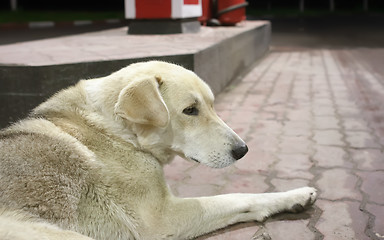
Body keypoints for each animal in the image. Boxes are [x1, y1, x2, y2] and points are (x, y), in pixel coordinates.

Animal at [0, 61, 316, 239]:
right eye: (190, 110)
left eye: (212, 105)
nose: (243, 150)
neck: (119, 131)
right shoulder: (163, 218)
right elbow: (235, 197)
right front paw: (293, 195)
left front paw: (294, 198)